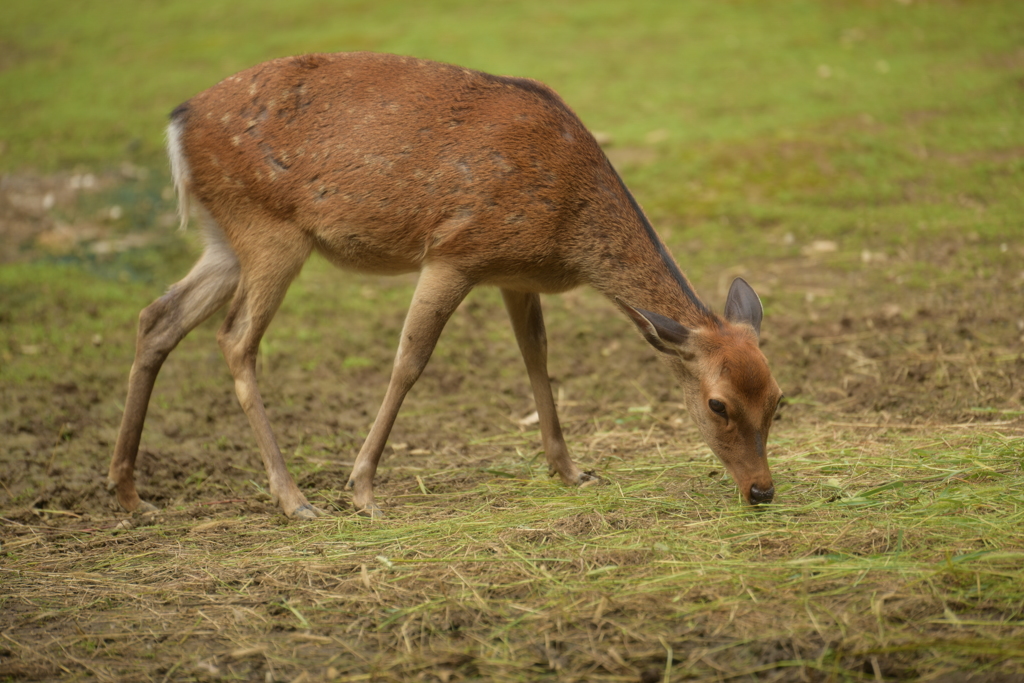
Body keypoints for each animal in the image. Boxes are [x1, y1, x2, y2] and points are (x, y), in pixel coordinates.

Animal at [105, 53, 782, 520]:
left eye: (779, 399)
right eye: (718, 404)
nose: (762, 489)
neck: (568, 229)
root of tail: (177, 125)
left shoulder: (513, 273)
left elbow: (537, 356)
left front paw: (571, 470)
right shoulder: (456, 251)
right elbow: (411, 360)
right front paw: (363, 490)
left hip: (225, 239)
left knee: (156, 317)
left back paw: (130, 492)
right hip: (270, 230)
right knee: (236, 340)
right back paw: (295, 498)